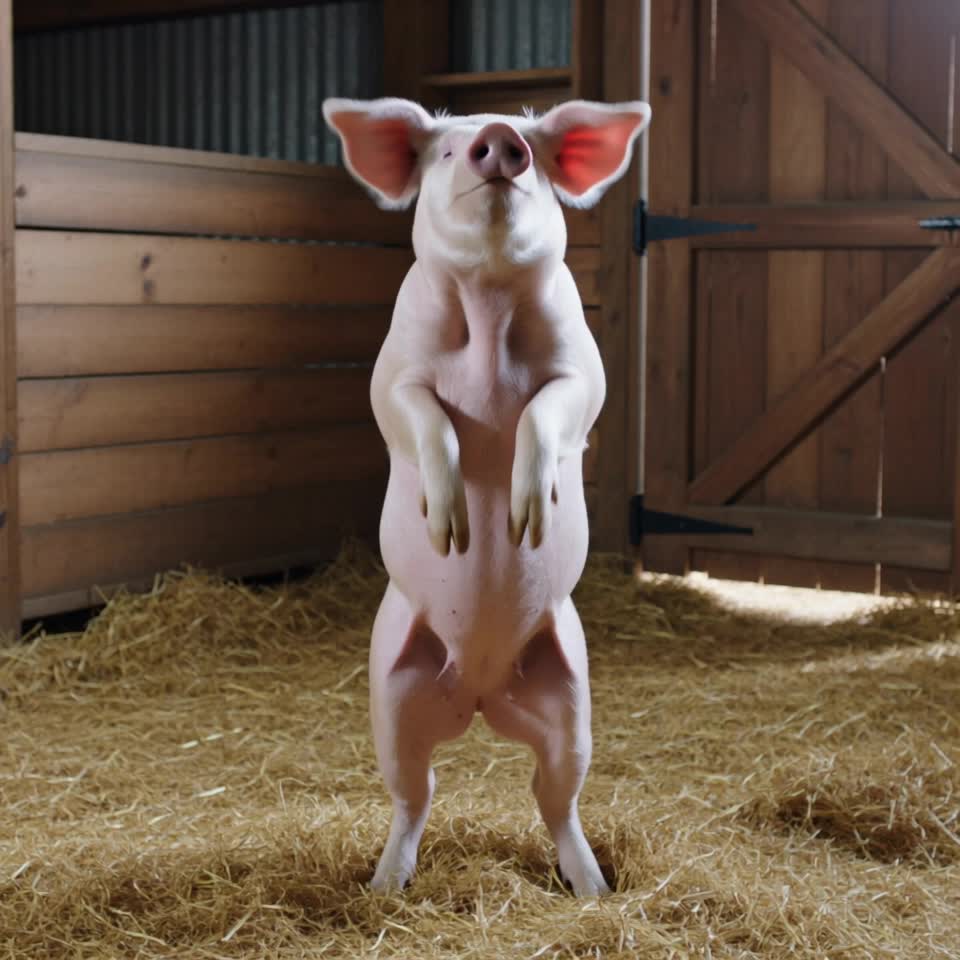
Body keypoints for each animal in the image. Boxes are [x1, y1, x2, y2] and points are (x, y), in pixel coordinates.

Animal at [322, 95, 651, 896]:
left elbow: (549, 410)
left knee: (554, 797)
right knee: (416, 793)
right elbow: (422, 419)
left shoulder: (583, 374)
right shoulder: (393, 377)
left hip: (570, 698)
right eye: (444, 151)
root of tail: (478, 693)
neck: (490, 306)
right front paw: (454, 533)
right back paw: (384, 887)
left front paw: (527, 519)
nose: (498, 139)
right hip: (392, 694)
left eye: (535, 146)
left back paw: (593, 889)